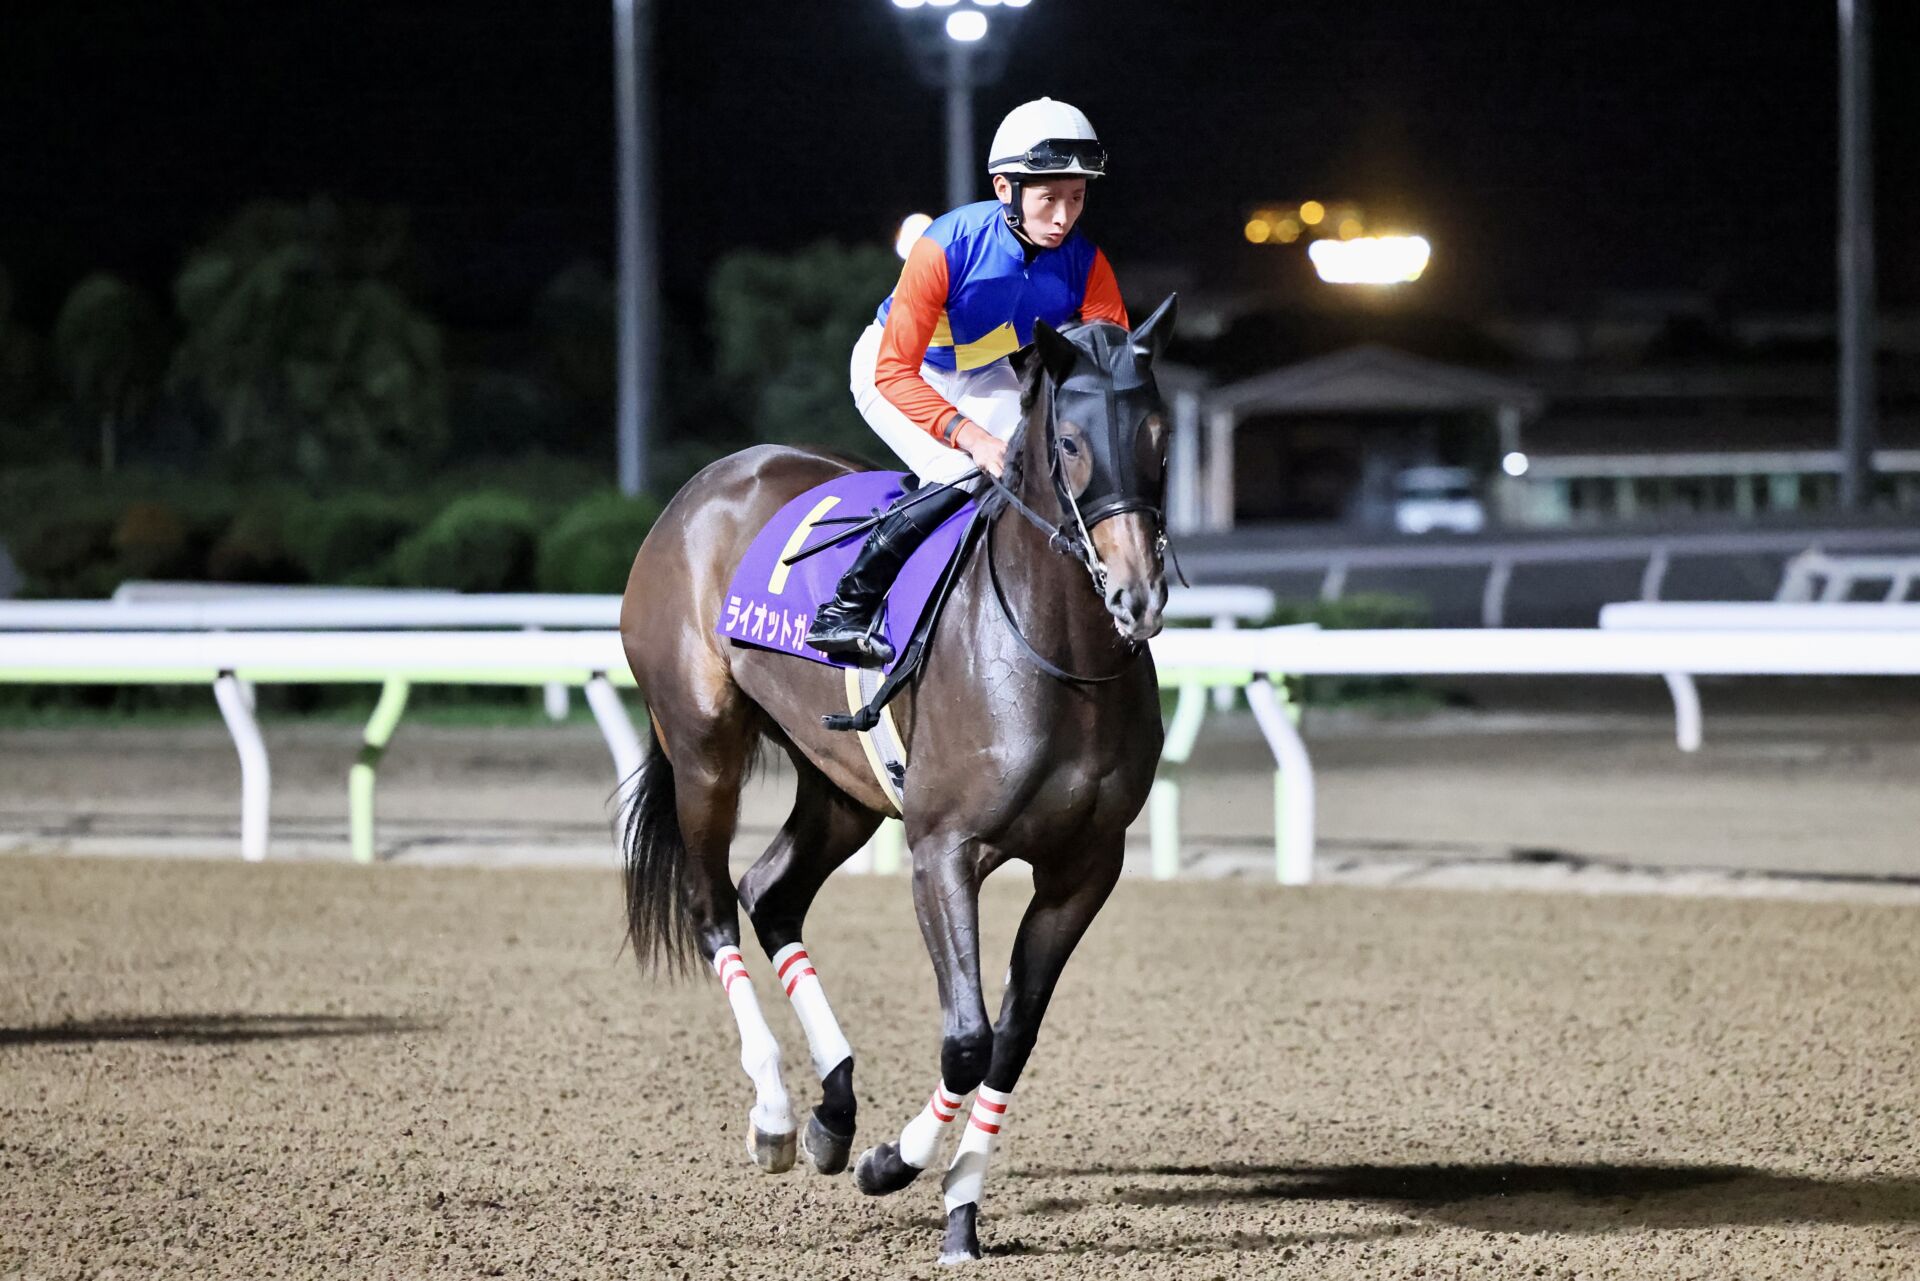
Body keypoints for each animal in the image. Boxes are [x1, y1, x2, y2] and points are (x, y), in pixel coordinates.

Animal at [617, 296, 1177, 1264]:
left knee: (771, 892)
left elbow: (1012, 1039)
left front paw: (960, 1210)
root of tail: (703, 486)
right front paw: (896, 1162)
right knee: (711, 902)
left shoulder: (1084, 868)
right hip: (703, 746)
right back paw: (775, 1113)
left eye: (1158, 432)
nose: (1135, 594)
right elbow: (967, 1038)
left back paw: (833, 1110)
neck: (1061, 657)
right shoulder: (943, 849)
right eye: (1068, 441)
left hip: (841, 784)